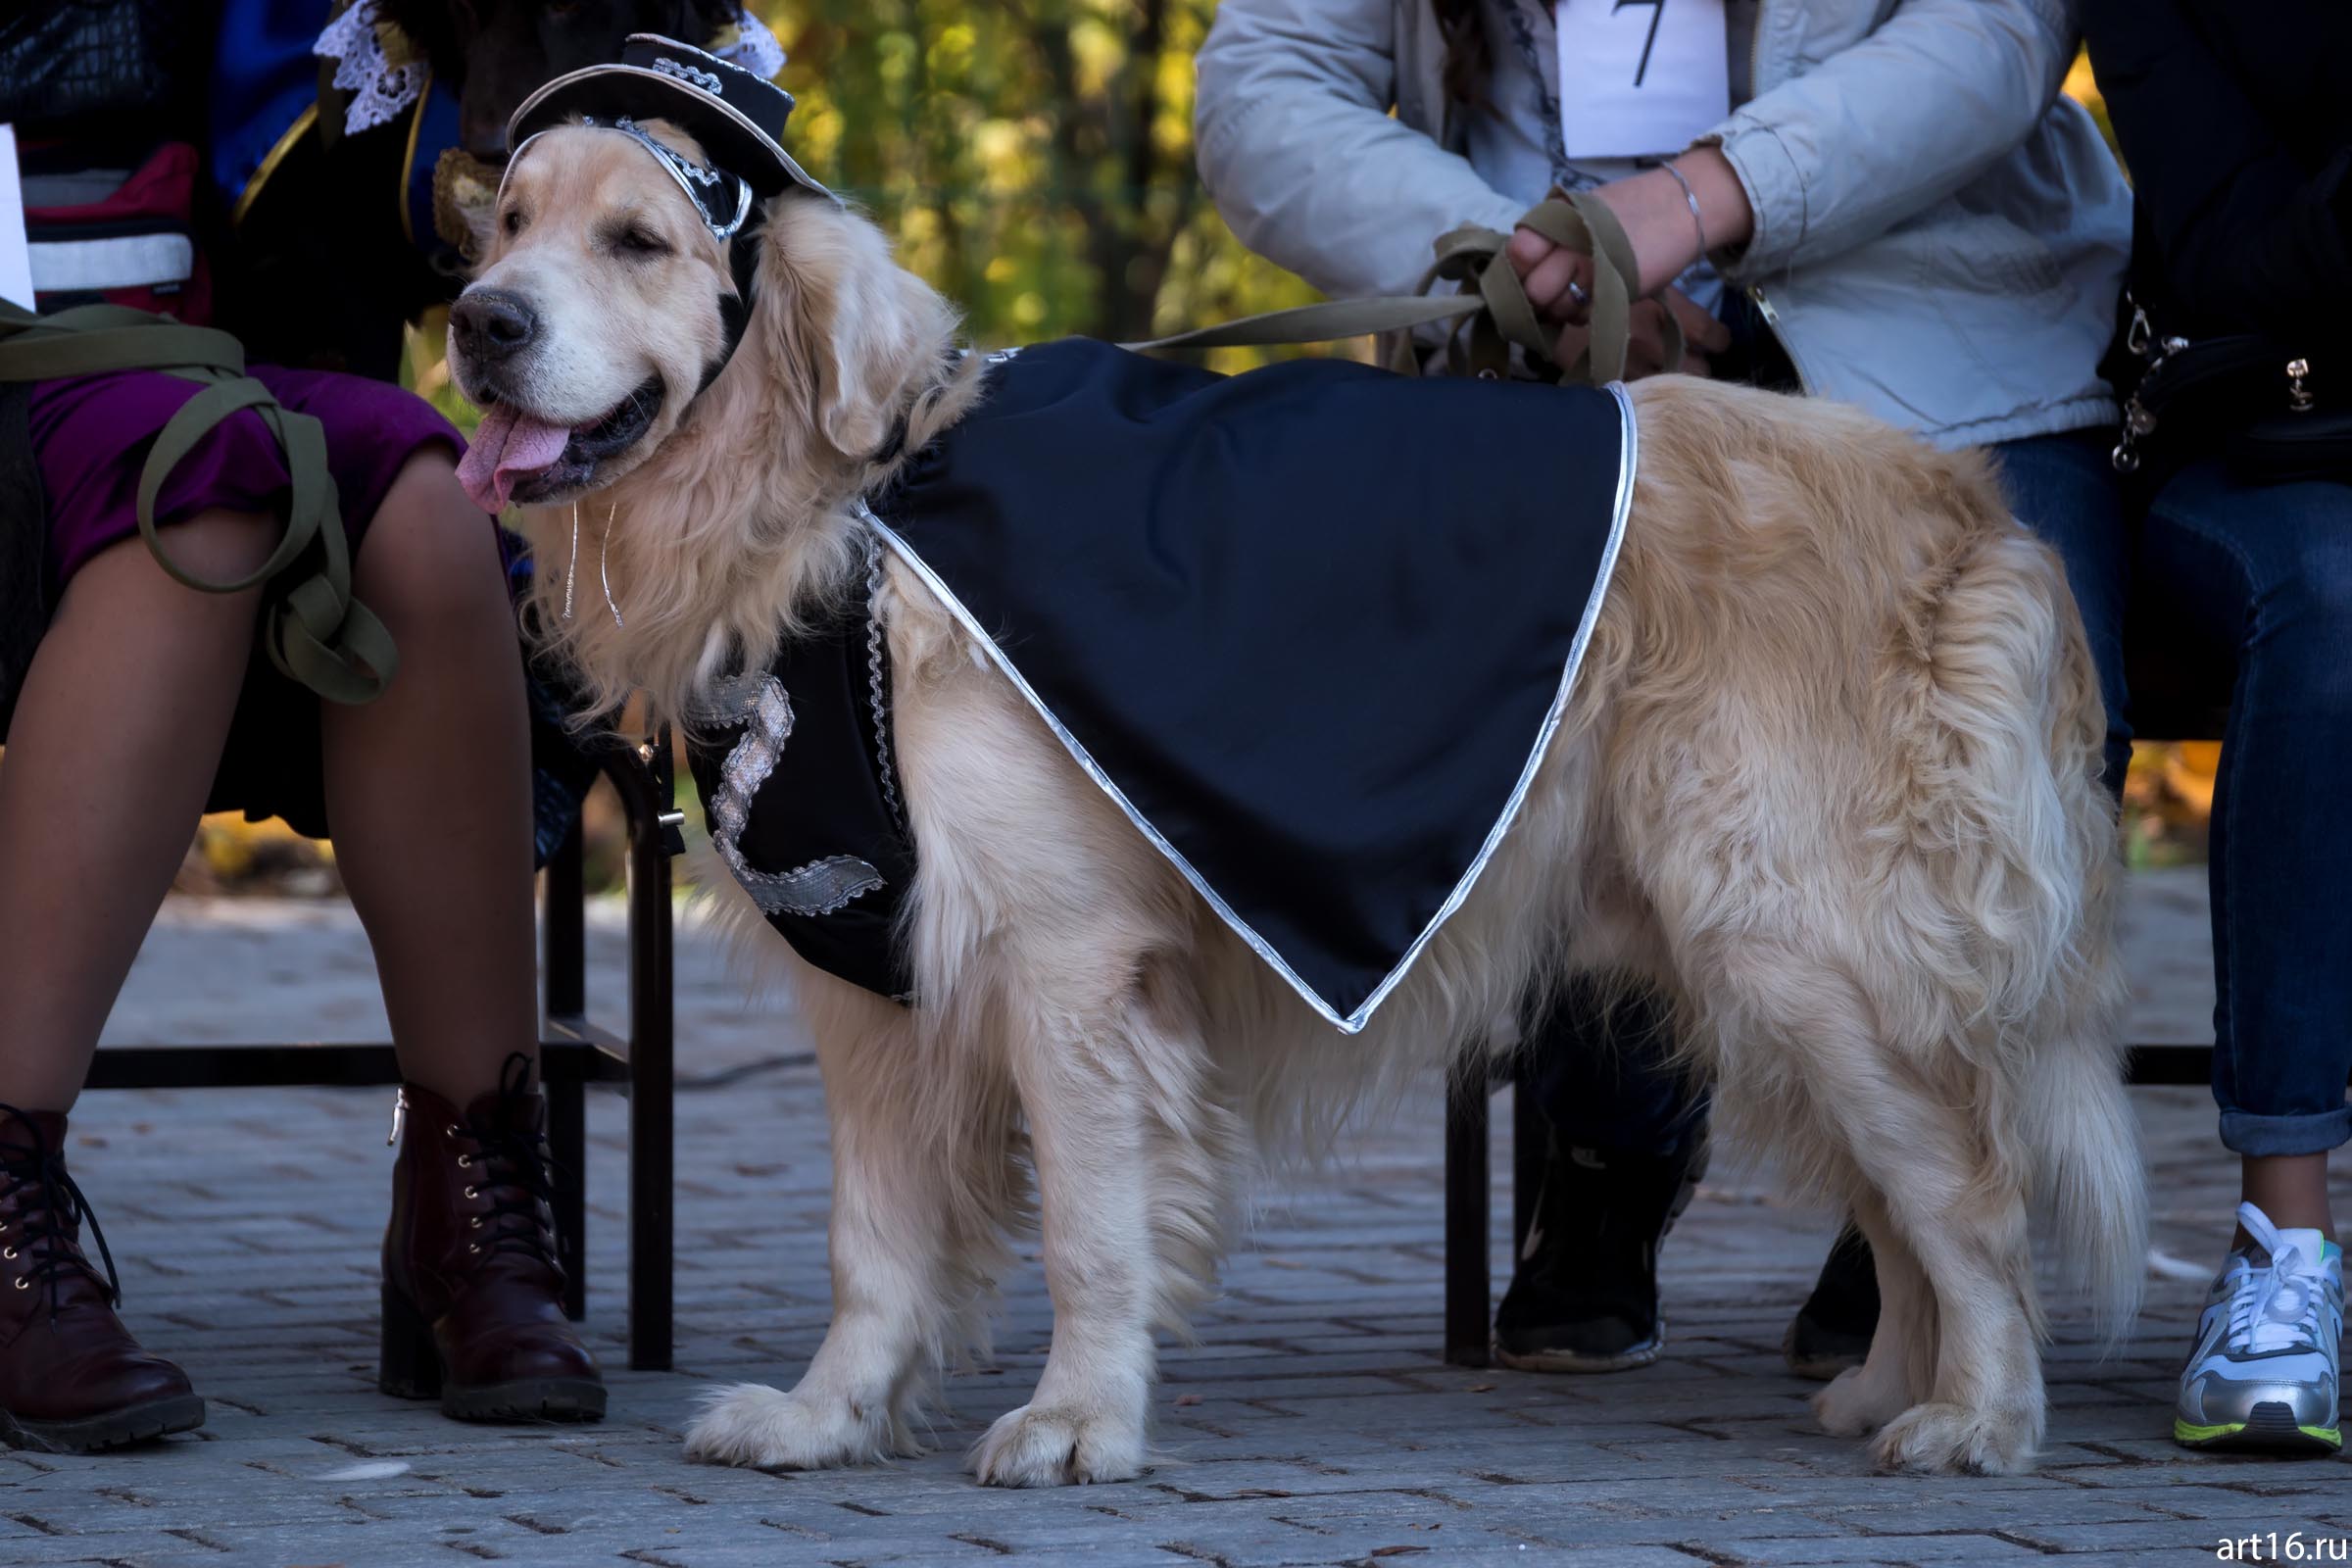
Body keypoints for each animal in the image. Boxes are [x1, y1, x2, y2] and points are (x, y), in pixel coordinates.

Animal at [444, 122, 2154, 1486]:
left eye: (641, 239)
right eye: (507, 219)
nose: (477, 322)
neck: (841, 520)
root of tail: (1978, 513)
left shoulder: (1065, 963)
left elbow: (1091, 1227)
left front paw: (1078, 1421)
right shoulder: (871, 982)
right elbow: (871, 1243)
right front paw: (828, 1417)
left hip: (1796, 947)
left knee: (1971, 1191)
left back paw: (1980, 1415)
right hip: (1769, 974)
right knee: (1910, 1196)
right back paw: (1890, 1387)